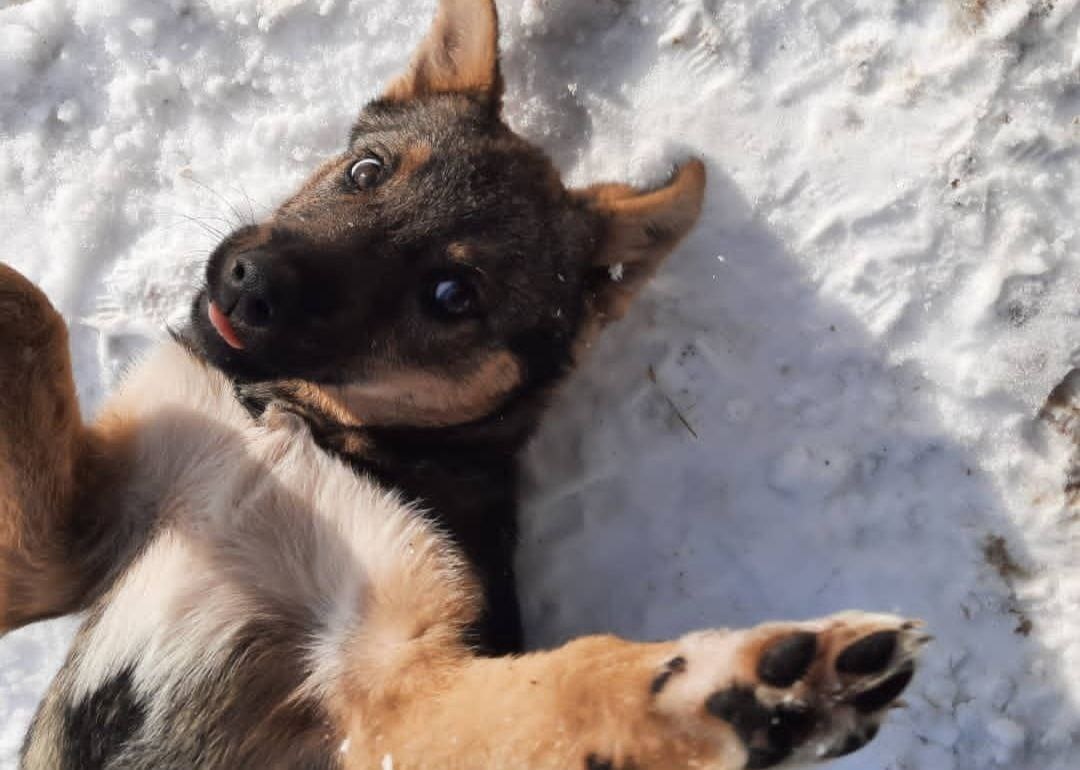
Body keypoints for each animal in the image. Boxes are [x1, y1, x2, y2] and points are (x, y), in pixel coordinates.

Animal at [0, 1, 926, 767]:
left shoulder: (392, 687)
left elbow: (568, 685)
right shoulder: (66, 545)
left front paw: (738, 690)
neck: (304, 426)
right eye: (368, 171)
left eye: (452, 295)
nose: (248, 283)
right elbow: (36, 318)